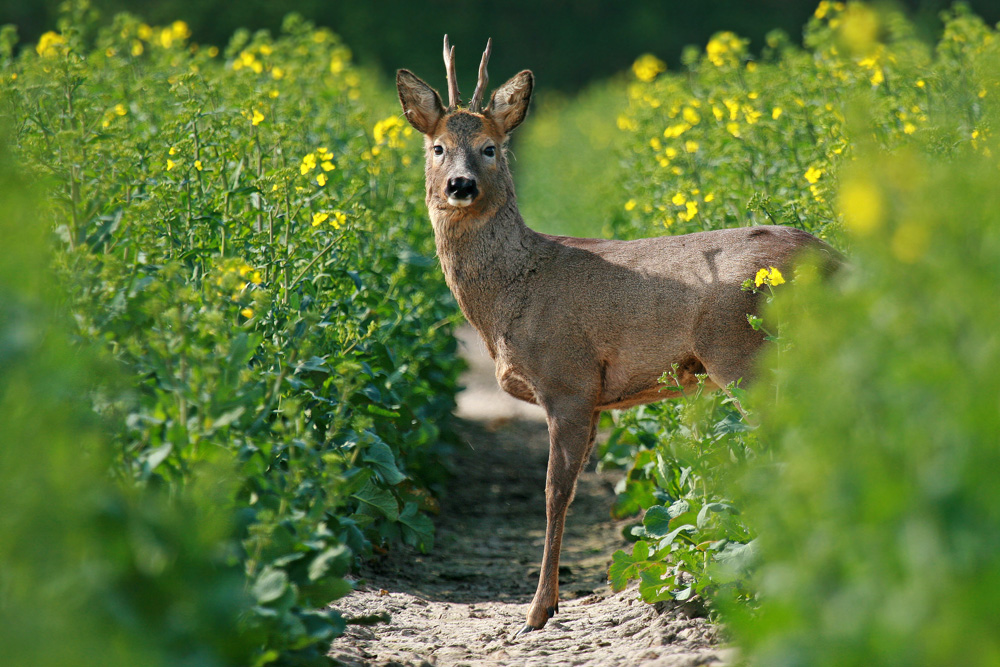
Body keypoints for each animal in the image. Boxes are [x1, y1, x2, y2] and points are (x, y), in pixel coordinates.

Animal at [394, 35, 840, 636]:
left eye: (490, 148)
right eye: (438, 147)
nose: (459, 185)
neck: (512, 293)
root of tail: (836, 260)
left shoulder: (568, 380)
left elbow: (555, 493)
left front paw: (538, 611)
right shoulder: (597, 396)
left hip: (745, 354)